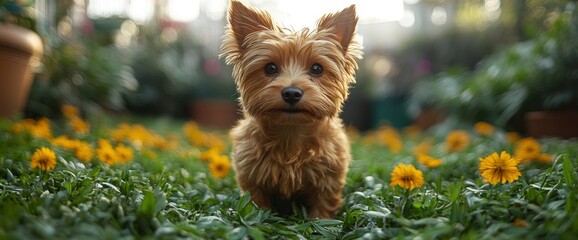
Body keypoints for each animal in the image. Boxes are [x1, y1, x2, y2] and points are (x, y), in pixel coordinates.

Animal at [219, 0, 360, 218]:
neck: (291, 132)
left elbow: (323, 206)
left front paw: (320, 220)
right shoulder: (251, 176)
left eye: (317, 68)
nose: (292, 93)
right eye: (270, 68)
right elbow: (256, 204)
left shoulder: (329, 178)